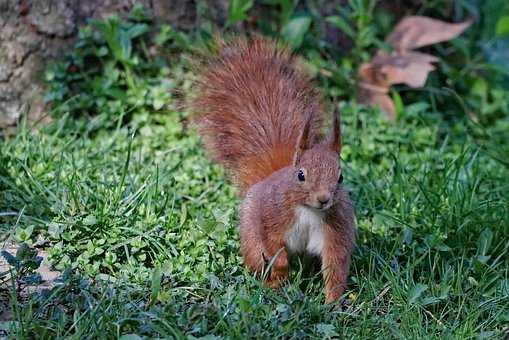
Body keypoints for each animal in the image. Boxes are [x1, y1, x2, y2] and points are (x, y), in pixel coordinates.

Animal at [192, 37, 356, 302]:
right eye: (301, 175)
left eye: (340, 177)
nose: (323, 199)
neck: (309, 211)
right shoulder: (271, 217)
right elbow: (272, 245)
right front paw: (280, 273)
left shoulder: (336, 230)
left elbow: (335, 265)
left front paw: (333, 302)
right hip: (250, 237)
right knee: (258, 257)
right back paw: (273, 286)